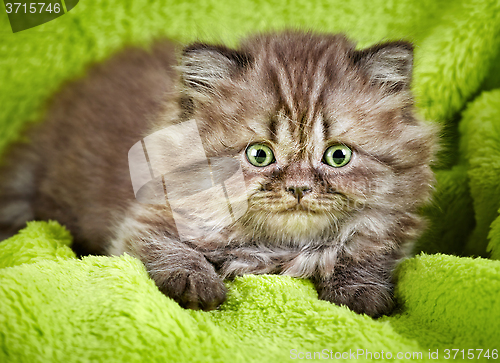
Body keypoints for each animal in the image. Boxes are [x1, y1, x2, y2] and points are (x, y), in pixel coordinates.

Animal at [0, 31, 438, 318]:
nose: (298, 188)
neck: (278, 246)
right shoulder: (145, 220)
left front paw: (361, 292)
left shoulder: (388, 232)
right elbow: (172, 251)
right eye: (259, 155)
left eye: (338, 155)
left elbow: (365, 250)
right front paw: (197, 285)